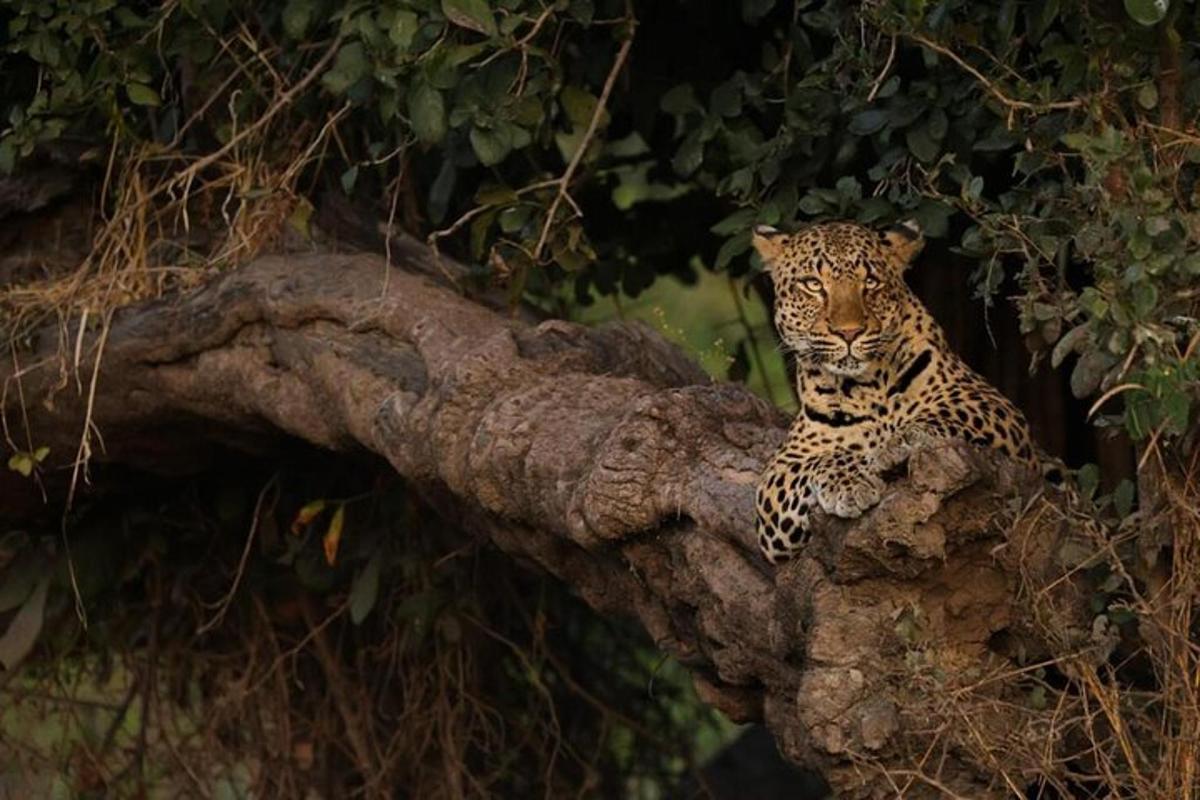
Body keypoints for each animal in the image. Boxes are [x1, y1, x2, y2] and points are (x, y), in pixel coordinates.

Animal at [752, 219, 1038, 564]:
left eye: (871, 281)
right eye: (813, 285)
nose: (849, 332)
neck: (863, 387)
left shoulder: (994, 405)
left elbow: (949, 412)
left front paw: (899, 441)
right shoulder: (776, 482)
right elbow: (815, 461)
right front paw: (850, 482)